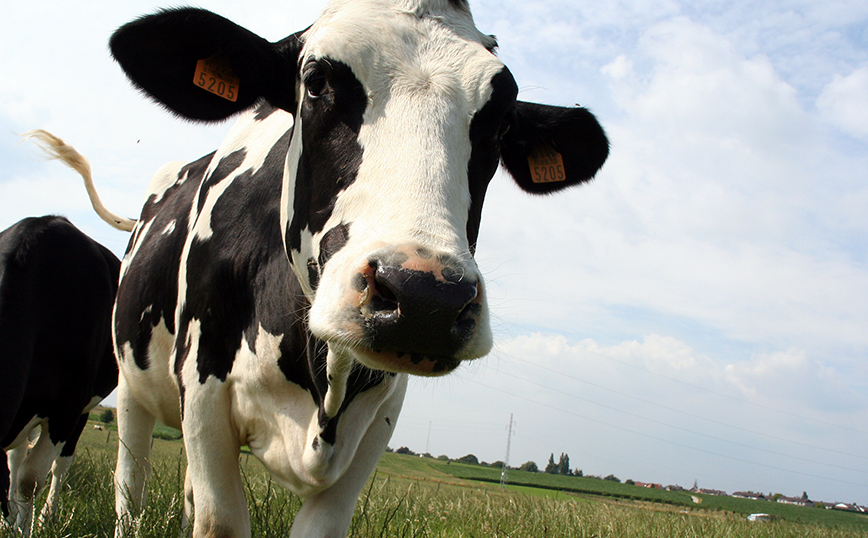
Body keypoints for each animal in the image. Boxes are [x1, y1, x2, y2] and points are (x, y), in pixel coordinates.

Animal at [0, 213, 120, 532]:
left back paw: (45, 517)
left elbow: (30, 480)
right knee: (16, 459)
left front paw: (25, 529)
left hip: (82, 408)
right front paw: (12, 523)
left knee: (58, 465)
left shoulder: (68, 407)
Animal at [79, 2, 612, 532]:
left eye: (501, 123)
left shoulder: (380, 416)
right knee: (130, 483)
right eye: (315, 81)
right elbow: (218, 519)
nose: (427, 300)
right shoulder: (203, 385)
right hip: (131, 386)